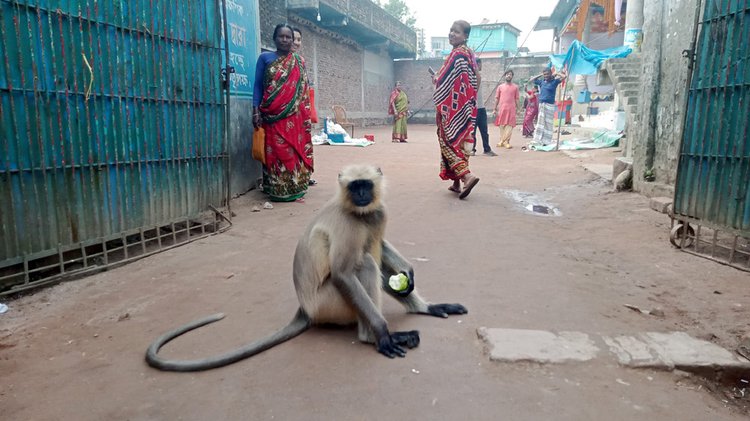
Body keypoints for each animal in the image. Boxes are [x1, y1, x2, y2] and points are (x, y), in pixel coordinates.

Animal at [145, 164, 470, 370]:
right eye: (355, 187)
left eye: (365, 185)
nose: (362, 196)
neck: (357, 211)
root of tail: (305, 308)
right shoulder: (349, 224)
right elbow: (342, 273)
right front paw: (383, 334)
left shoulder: (376, 212)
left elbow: (382, 244)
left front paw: (409, 273)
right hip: (329, 305)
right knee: (364, 263)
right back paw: (374, 337)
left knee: (373, 259)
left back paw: (425, 308)